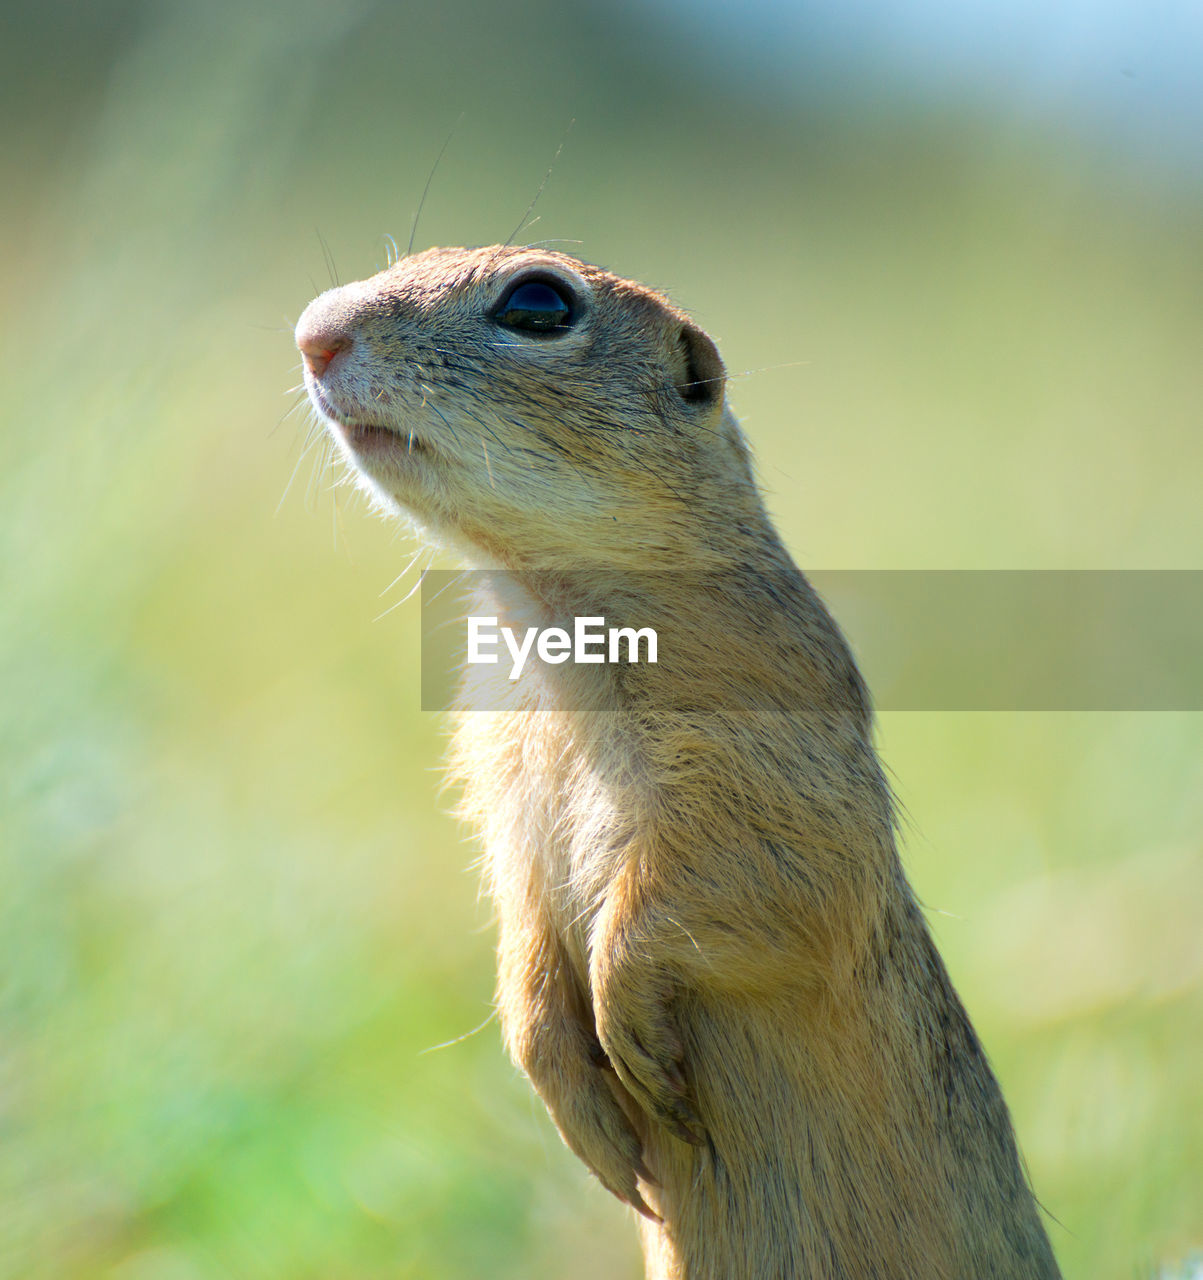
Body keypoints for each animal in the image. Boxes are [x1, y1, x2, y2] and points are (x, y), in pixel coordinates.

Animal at [293, 244, 1059, 1274]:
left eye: (538, 303)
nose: (312, 333)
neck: (545, 611)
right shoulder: (501, 782)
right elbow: (523, 923)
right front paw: (575, 1097)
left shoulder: (763, 763)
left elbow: (731, 892)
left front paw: (632, 1039)